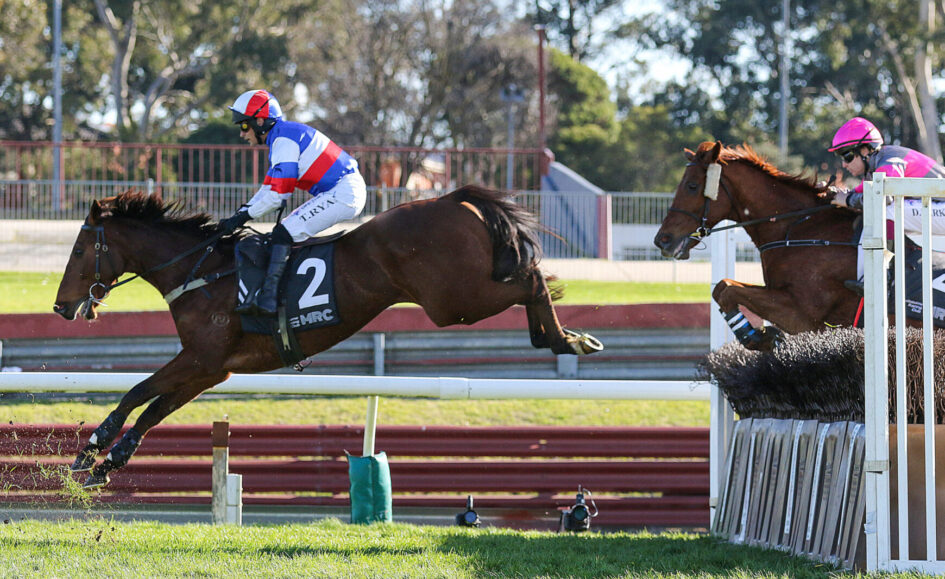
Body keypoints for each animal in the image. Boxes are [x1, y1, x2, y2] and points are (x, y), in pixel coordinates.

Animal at [54, 186, 602, 487]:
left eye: (79, 249)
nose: (60, 306)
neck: (202, 270)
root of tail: (452, 199)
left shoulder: (201, 358)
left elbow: (138, 392)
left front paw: (90, 450)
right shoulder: (212, 368)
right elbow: (154, 408)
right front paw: (106, 461)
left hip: (454, 302)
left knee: (531, 279)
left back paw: (566, 340)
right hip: (459, 297)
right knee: (528, 280)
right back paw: (560, 337)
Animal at [653, 141, 862, 350]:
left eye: (692, 186)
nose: (662, 240)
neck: (799, 228)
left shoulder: (803, 315)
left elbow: (728, 291)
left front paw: (757, 337)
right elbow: (722, 287)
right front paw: (761, 336)